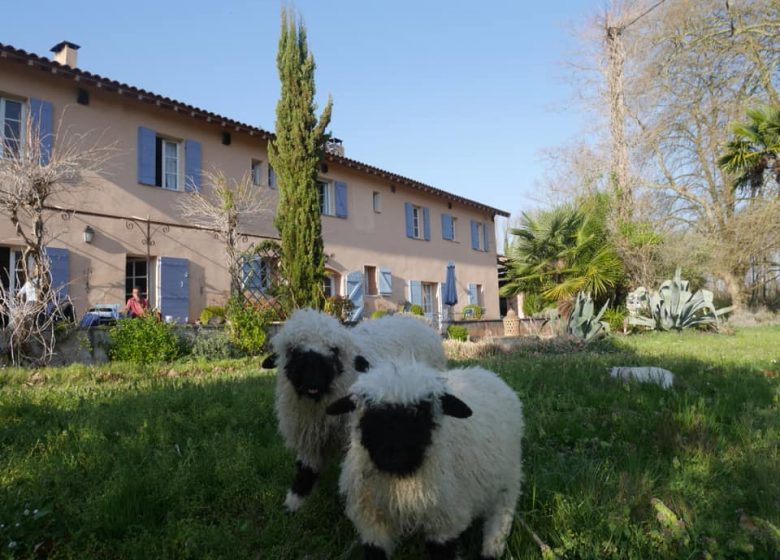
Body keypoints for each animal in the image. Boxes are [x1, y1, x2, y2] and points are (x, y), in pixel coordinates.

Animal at [262, 308, 444, 516]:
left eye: (334, 350)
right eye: (292, 351)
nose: (312, 382)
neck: (319, 409)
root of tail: (414, 319)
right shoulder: (308, 438)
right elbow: (305, 470)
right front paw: (293, 504)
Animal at [324, 360, 524, 556]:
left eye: (421, 413)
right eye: (370, 413)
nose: (394, 456)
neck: (400, 483)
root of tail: (486, 372)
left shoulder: (444, 521)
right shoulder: (372, 522)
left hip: (508, 480)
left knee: (501, 517)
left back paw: (492, 549)